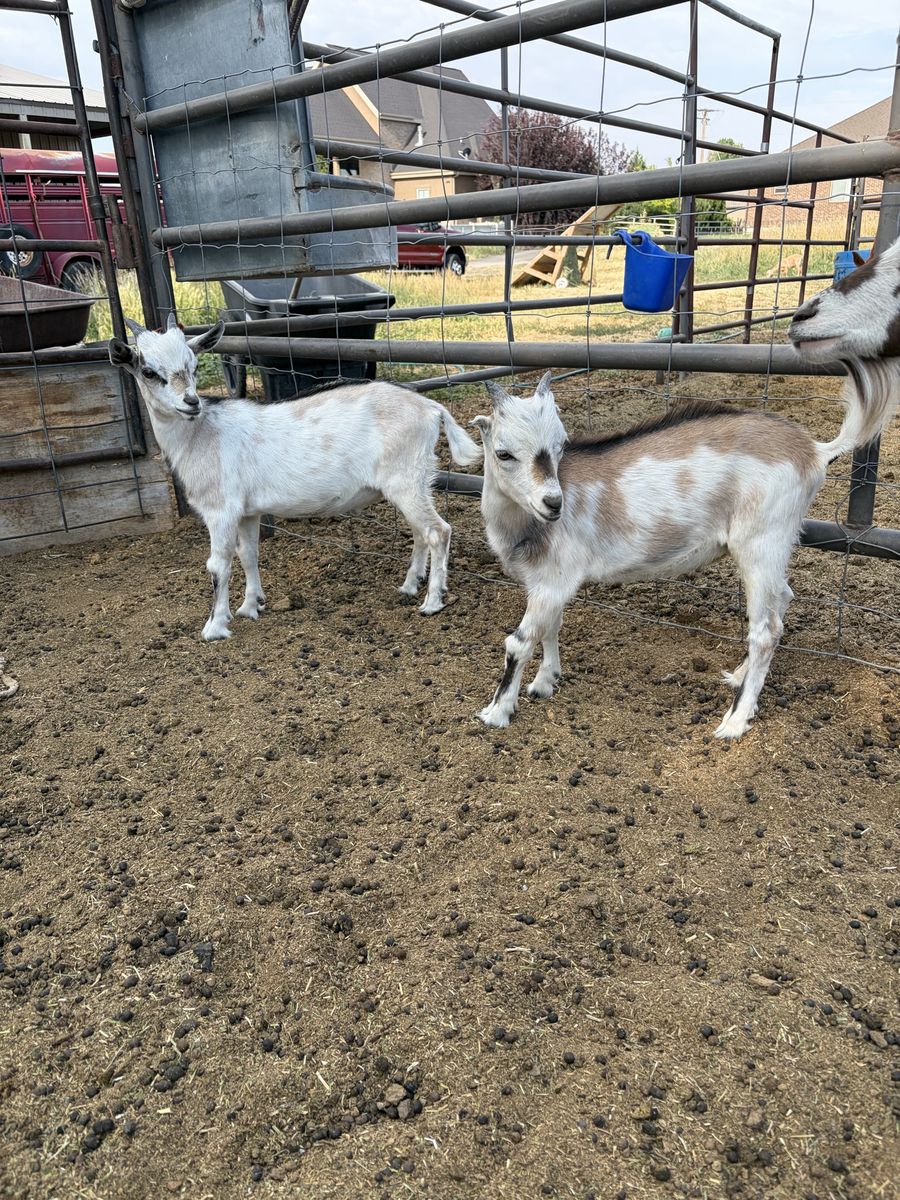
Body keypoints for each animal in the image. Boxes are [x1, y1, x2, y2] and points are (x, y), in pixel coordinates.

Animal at [109, 316, 482, 640]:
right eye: (147, 371)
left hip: (406, 478)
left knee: (438, 531)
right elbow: (248, 554)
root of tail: (431, 408)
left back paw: (432, 601)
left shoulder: (220, 510)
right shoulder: (247, 512)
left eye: (194, 366)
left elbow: (218, 565)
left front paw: (215, 626)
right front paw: (250, 606)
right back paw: (409, 586)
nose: (191, 402)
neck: (202, 433)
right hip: (413, 481)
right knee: (420, 532)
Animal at [472, 341, 897, 736]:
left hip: (761, 540)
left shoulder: (555, 577)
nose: (553, 503)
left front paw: (496, 711)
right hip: (773, 545)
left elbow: (519, 641)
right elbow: (551, 627)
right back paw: (740, 675)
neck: (522, 525)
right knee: (782, 601)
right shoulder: (547, 582)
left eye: (561, 445)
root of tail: (814, 451)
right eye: (503, 453)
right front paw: (546, 682)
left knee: (766, 630)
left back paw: (736, 720)